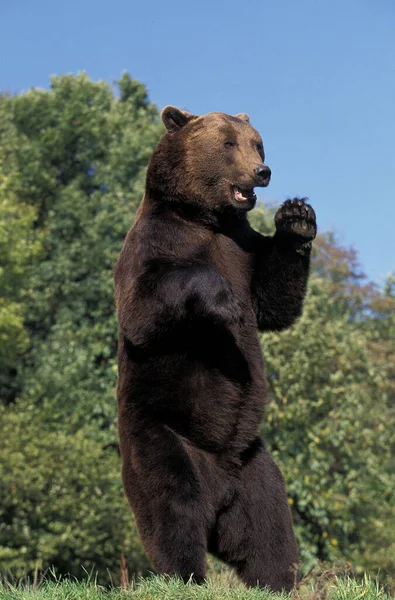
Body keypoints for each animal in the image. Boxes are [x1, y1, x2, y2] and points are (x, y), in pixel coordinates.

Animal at [114, 106, 318, 592]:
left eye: (257, 143)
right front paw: (223, 301)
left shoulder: (243, 250)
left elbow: (274, 297)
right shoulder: (153, 245)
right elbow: (144, 307)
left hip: (253, 466)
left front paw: (297, 217)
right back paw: (185, 575)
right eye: (228, 143)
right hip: (160, 434)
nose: (263, 171)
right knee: (172, 508)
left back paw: (279, 582)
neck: (208, 219)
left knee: (269, 528)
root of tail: (219, 492)